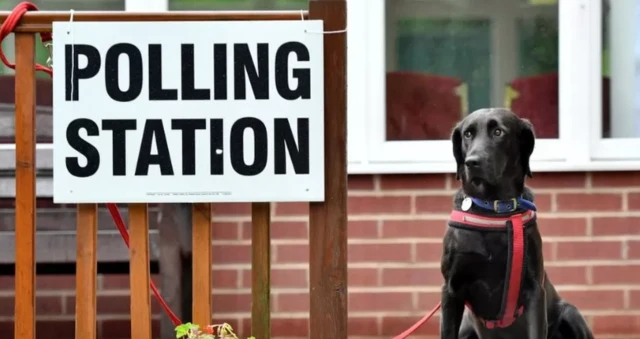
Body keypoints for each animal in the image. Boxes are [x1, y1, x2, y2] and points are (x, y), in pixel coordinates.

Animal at [440, 109, 596, 339]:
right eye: (467, 134)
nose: (472, 162)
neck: (493, 209)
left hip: (571, 313)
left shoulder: (534, 290)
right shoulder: (451, 290)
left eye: (498, 132)